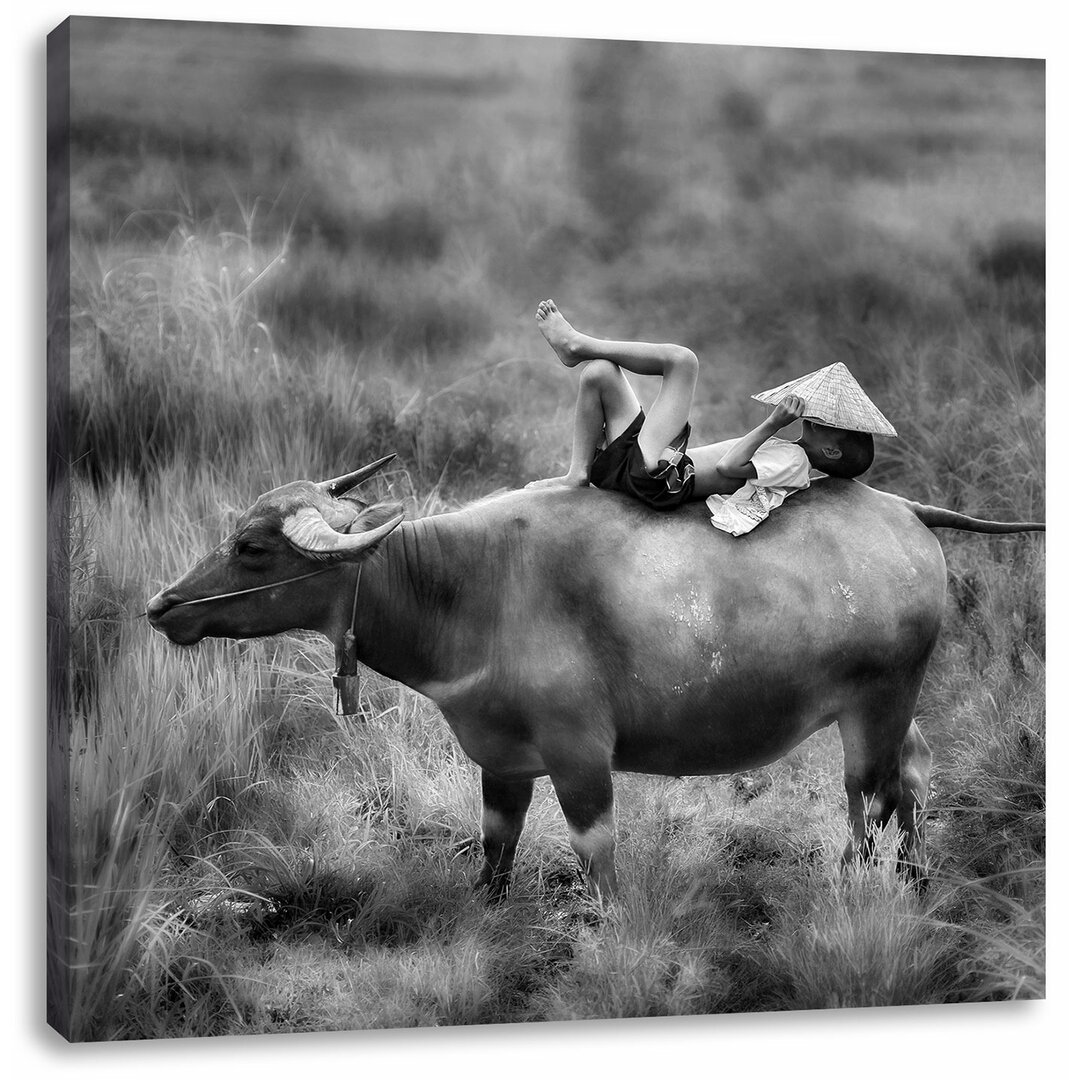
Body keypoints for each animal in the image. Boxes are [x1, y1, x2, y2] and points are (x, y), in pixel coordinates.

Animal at [143, 457, 1036, 902]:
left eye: (253, 547)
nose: (162, 606)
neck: (472, 588)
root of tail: (906, 511)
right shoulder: (503, 761)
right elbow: (495, 851)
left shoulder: (580, 757)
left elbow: (596, 856)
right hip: (894, 707)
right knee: (913, 775)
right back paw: (917, 880)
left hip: (878, 703)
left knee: (872, 797)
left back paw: (863, 882)